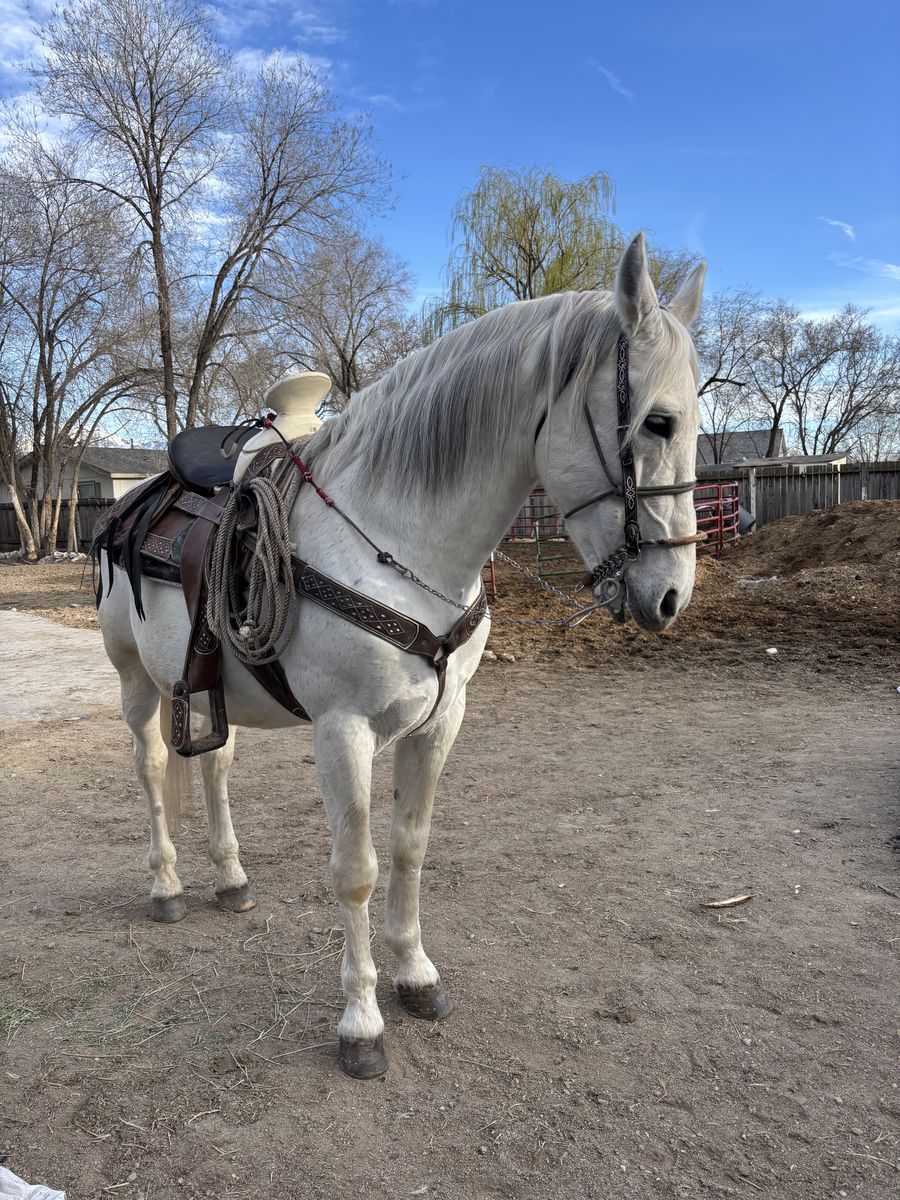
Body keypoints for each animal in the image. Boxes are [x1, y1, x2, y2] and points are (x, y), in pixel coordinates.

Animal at [95, 232, 706, 1078]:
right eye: (658, 422)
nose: (672, 595)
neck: (397, 539)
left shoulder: (440, 722)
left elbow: (411, 850)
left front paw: (416, 976)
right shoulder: (342, 731)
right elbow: (356, 871)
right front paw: (360, 1022)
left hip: (211, 688)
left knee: (215, 769)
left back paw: (231, 878)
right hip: (135, 682)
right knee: (154, 769)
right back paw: (167, 888)